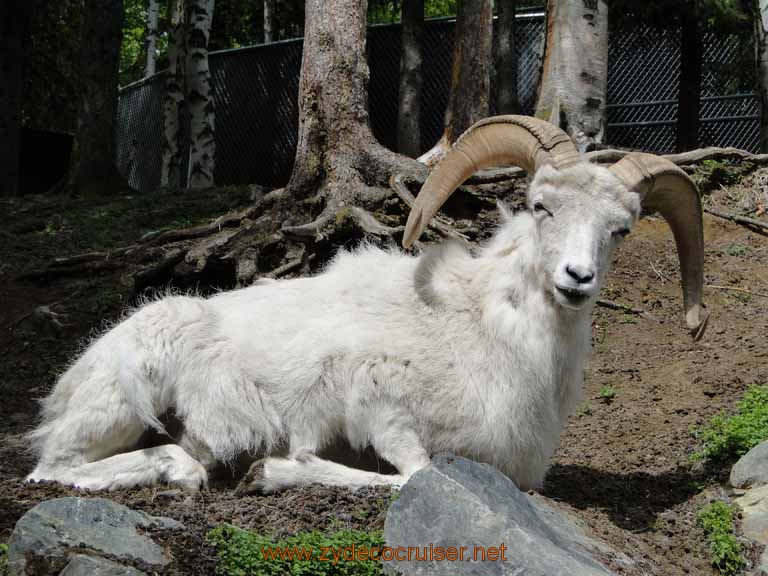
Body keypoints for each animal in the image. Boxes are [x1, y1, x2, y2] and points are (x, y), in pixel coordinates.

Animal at [25, 116, 708, 490]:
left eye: (620, 229)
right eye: (541, 206)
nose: (577, 278)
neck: (493, 337)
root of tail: (70, 381)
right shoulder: (379, 405)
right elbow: (415, 474)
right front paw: (277, 470)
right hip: (120, 404)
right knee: (55, 469)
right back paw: (190, 469)